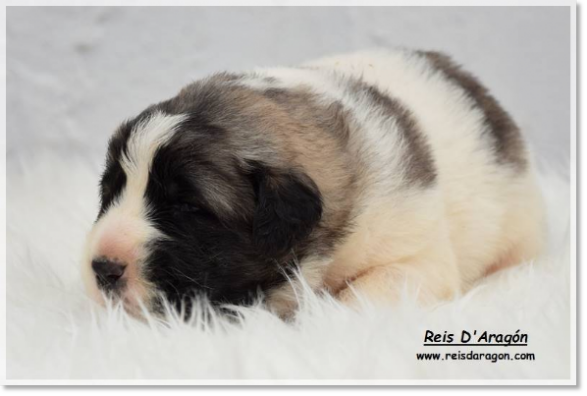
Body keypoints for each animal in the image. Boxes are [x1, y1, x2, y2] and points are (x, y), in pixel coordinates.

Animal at [82, 48, 548, 318]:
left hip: (519, 225)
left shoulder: (416, 259)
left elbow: (362, 297)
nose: (103, 269)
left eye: (188, 209)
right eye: (110, 191)